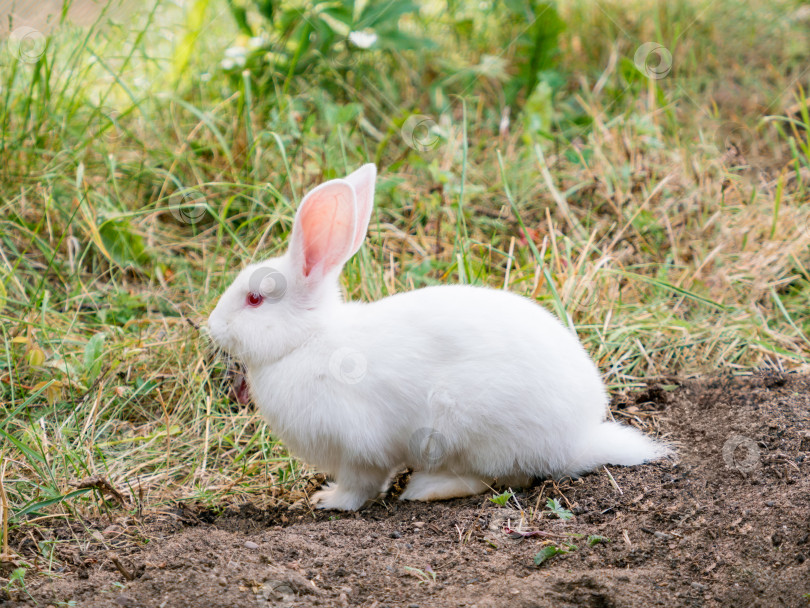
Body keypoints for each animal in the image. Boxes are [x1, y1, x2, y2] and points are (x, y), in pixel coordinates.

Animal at [208, 164, 668, 510]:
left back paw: (426, 488)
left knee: (503, 478)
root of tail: (578, 440)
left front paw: (330, 501)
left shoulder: (358, 446)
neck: (307, 341)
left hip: (468, 430)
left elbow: (360, 485)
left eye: (254, 298)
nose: (211, 327)